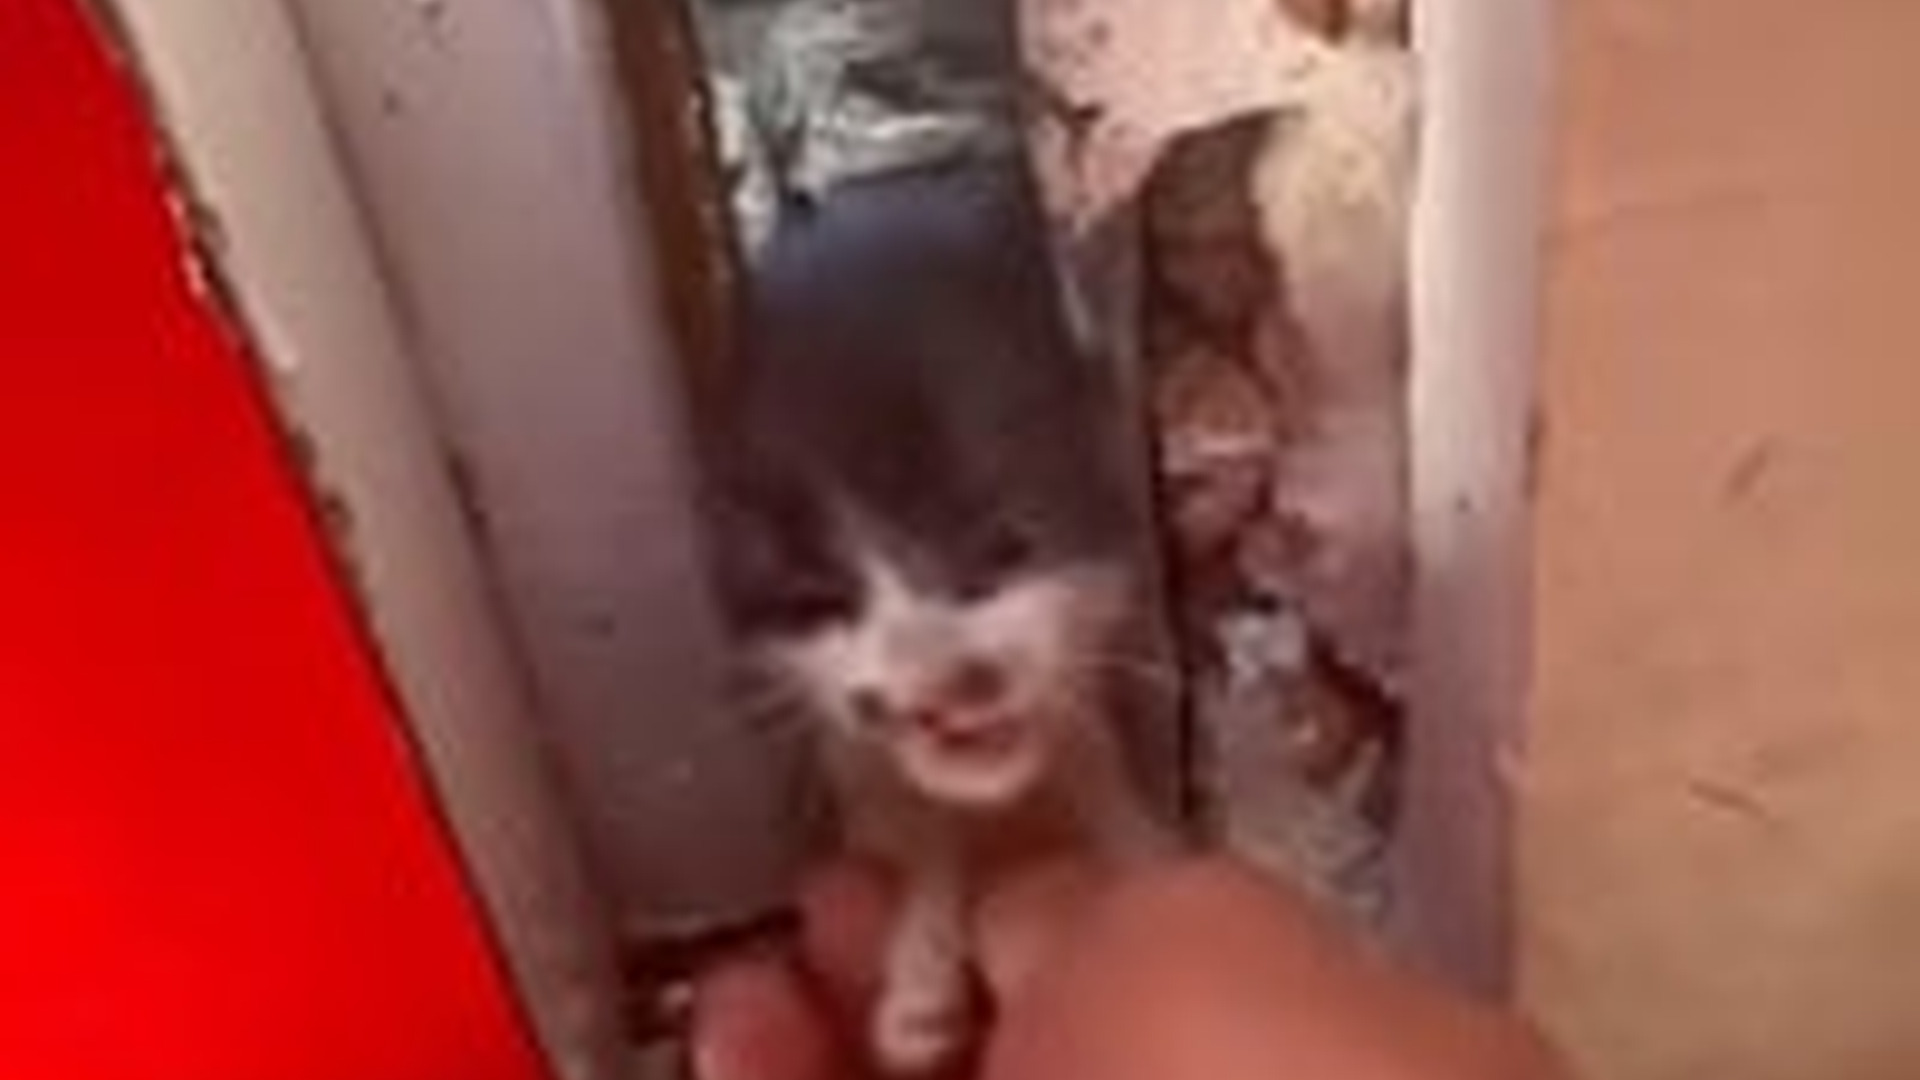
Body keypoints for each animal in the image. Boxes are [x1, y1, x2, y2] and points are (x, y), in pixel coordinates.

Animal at [705, 155, 1168, 1074]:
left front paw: (1139, 855)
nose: (943, 682)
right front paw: (921, 973)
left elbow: (1084, 737)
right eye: (819, 600)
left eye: (1002, 549)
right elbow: (906, 810)